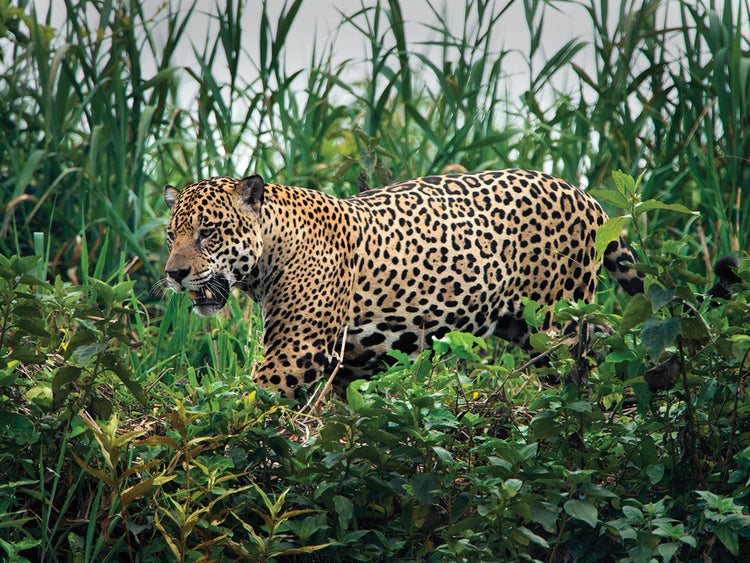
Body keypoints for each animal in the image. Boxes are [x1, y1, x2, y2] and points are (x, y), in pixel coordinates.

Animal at [164, 168, 647, 398]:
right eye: (172, 235)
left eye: (208, 232)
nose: (174, 273)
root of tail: (584, 195)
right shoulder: (346, 368)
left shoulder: (294, 352)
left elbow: (248, 405)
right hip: (527, 326)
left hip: (556, 324)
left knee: (578, 377)